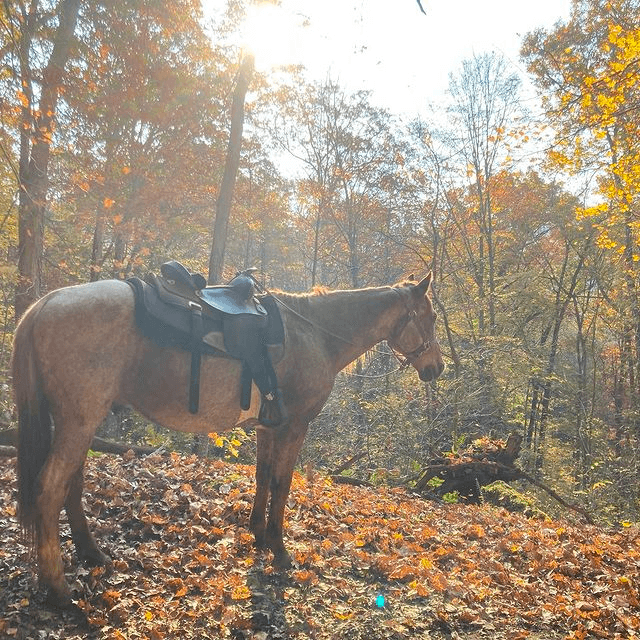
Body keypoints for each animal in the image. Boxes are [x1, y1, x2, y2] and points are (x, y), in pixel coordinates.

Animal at [11, 272, 444, 607]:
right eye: (431, 317)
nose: (436, 368)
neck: (314, 333)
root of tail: (46, 303)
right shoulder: (294, 426)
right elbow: (282, 484)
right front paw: (280, 549)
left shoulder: (268, 426)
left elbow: (263, 477)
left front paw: (258, 535)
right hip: (78, 422)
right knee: (49, 490)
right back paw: (59, 590)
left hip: (78, 424)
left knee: (72, 485)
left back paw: (92, 554)